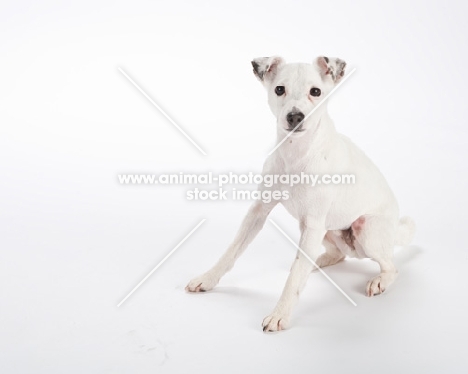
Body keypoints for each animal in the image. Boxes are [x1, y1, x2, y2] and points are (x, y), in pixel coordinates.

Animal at [185, 55, 414, 330]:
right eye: (279, 89)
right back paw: (319, 261)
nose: (295, 116)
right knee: (338, 255)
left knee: (391, 267)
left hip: (364, 230)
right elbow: (231, 251)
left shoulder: (313, 224)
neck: (296, 153)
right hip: (324, 232)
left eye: (315, 92)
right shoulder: (258, 211)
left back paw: (379, 280)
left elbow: (294, 277)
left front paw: (280, 314)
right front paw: (208, 278)